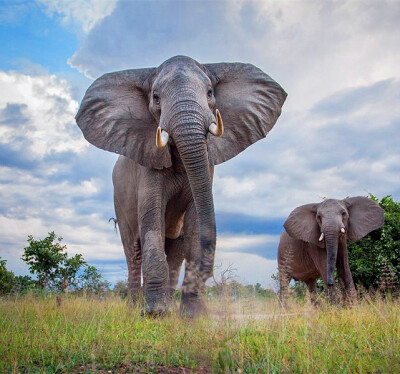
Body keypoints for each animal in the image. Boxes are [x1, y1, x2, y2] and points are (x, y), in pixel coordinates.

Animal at [76, 54, 288, 316]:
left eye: (210, 92)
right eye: (156, 97)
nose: (208, 273)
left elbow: (196, 221)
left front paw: (193, 315)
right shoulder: (148, 161)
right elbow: (152, 218)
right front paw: (154, 314)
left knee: (176, 250)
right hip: (119, 200)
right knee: (133, 250)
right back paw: (135, 309)